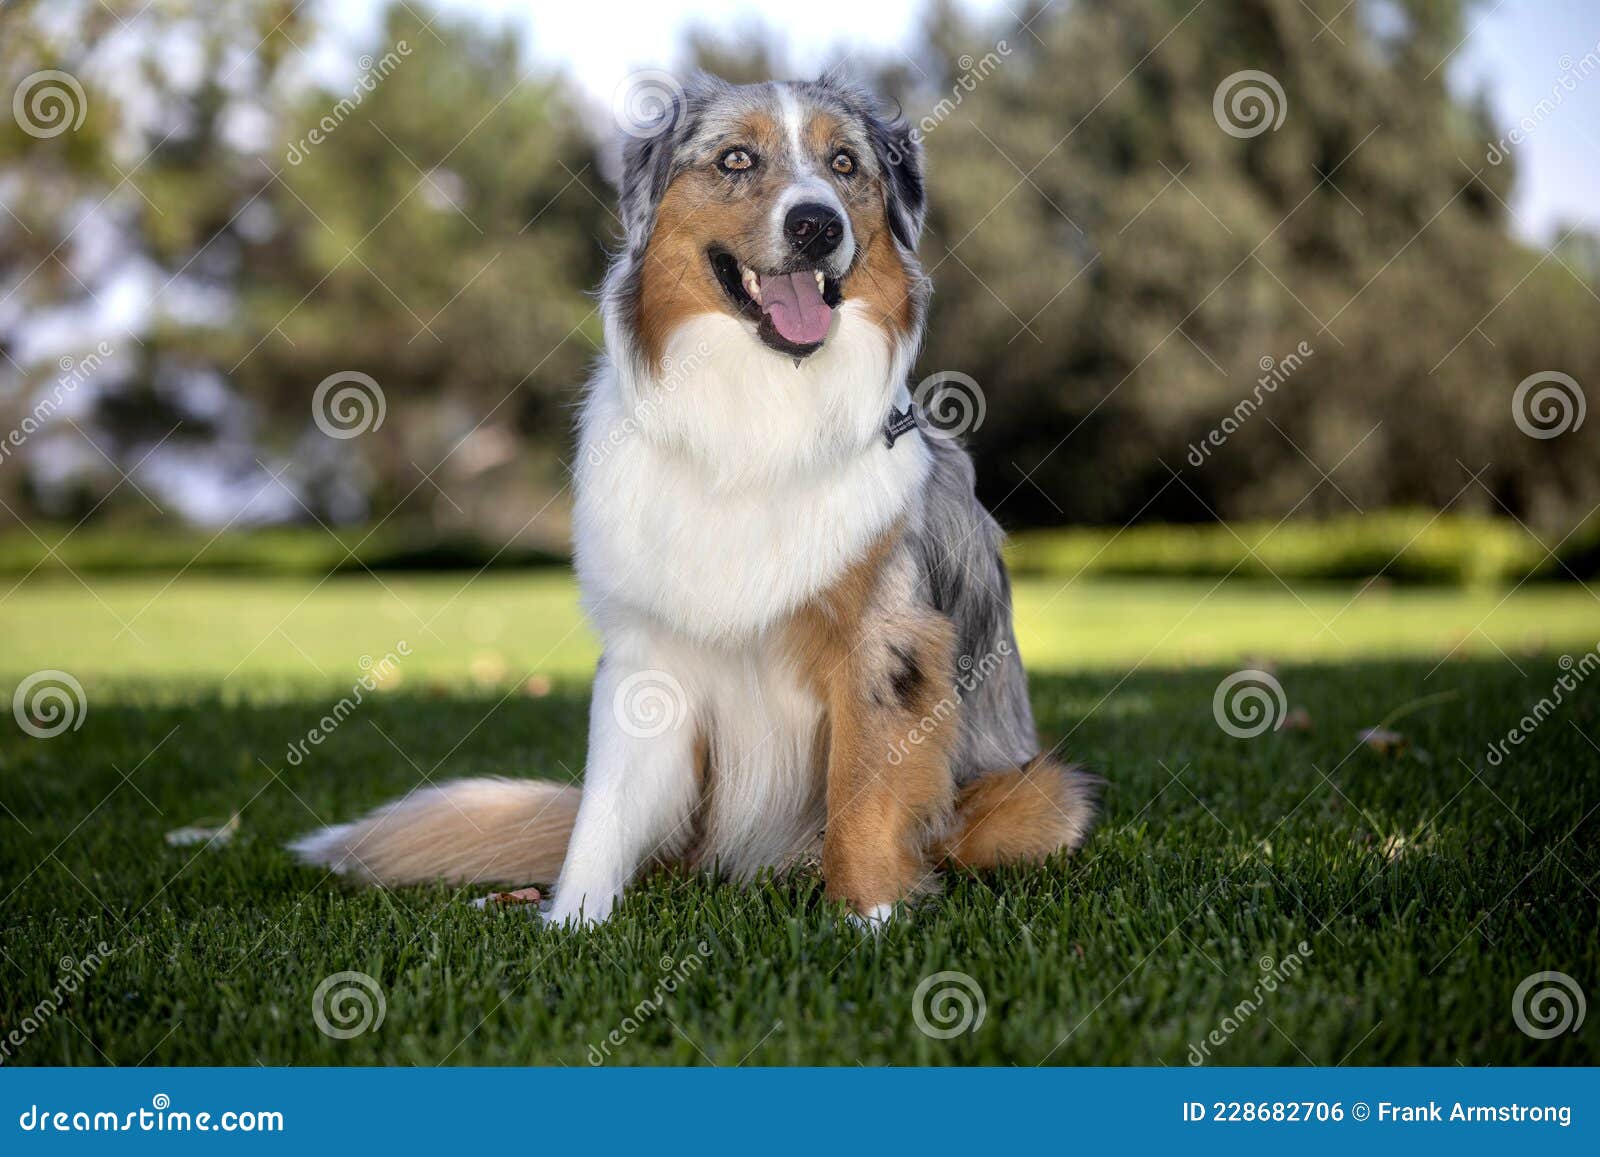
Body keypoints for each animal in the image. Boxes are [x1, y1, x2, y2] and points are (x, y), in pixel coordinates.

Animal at [291, 74, 1100, 934]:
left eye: (845, 164)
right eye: (736, 159)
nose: (817, 224)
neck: (758, 406)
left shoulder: (886, 639)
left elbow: (863, 794)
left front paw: (867, 916)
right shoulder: (645, 653)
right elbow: (603, 810)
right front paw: (573, 921)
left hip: (1043, 794)